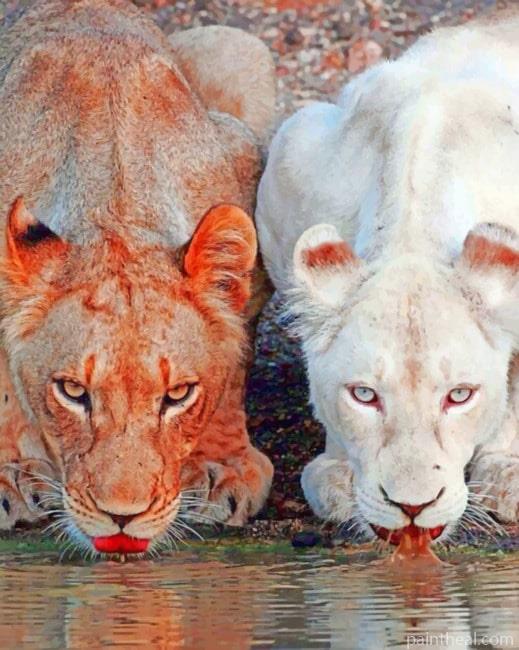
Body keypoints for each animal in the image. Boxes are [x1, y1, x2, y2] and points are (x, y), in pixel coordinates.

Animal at [0, 0, 275, 552]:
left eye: (178, 395)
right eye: (73, 391)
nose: (122, 517)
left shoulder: (247, 169)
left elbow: (235, 356)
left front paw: (222, 466)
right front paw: (10, 472)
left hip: (238, 45)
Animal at [256, 11, 519, 545]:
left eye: (459, 395)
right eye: (364, 395)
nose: (413, 507)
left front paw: (504, 471)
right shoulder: (288, 158)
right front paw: (338, 472)